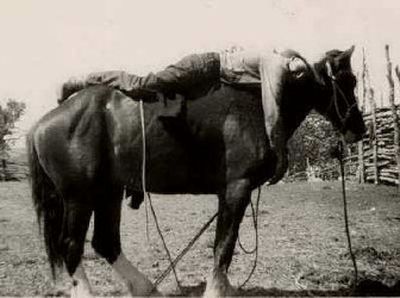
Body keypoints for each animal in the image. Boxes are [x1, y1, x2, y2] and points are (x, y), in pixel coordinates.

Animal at [27, 46, 366, 296]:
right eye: (348, 81)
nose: (359, 129)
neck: (257, 105)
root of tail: (45, 121)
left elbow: (225, 244)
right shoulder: (236, 189)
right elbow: (224, 246)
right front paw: (216, 290)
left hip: (107, 193)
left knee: (105, 242)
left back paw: (145, 287)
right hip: (79, 198)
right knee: (71, 246)